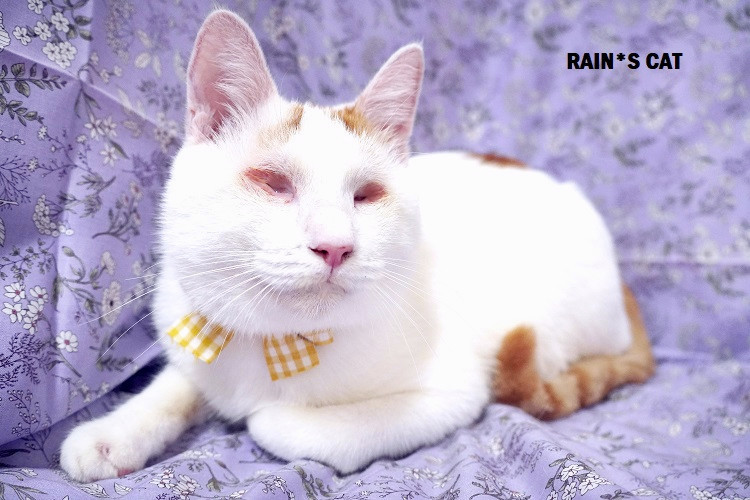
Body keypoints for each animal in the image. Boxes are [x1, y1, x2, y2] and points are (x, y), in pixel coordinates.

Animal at [60, 10, 654, 482]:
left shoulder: (453, 393)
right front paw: (114, 433)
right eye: (274, 183)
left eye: (366, 195)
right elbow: (178, 384)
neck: (278, 345)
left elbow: (298, 427)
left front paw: (265, 414)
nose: (334, 247)